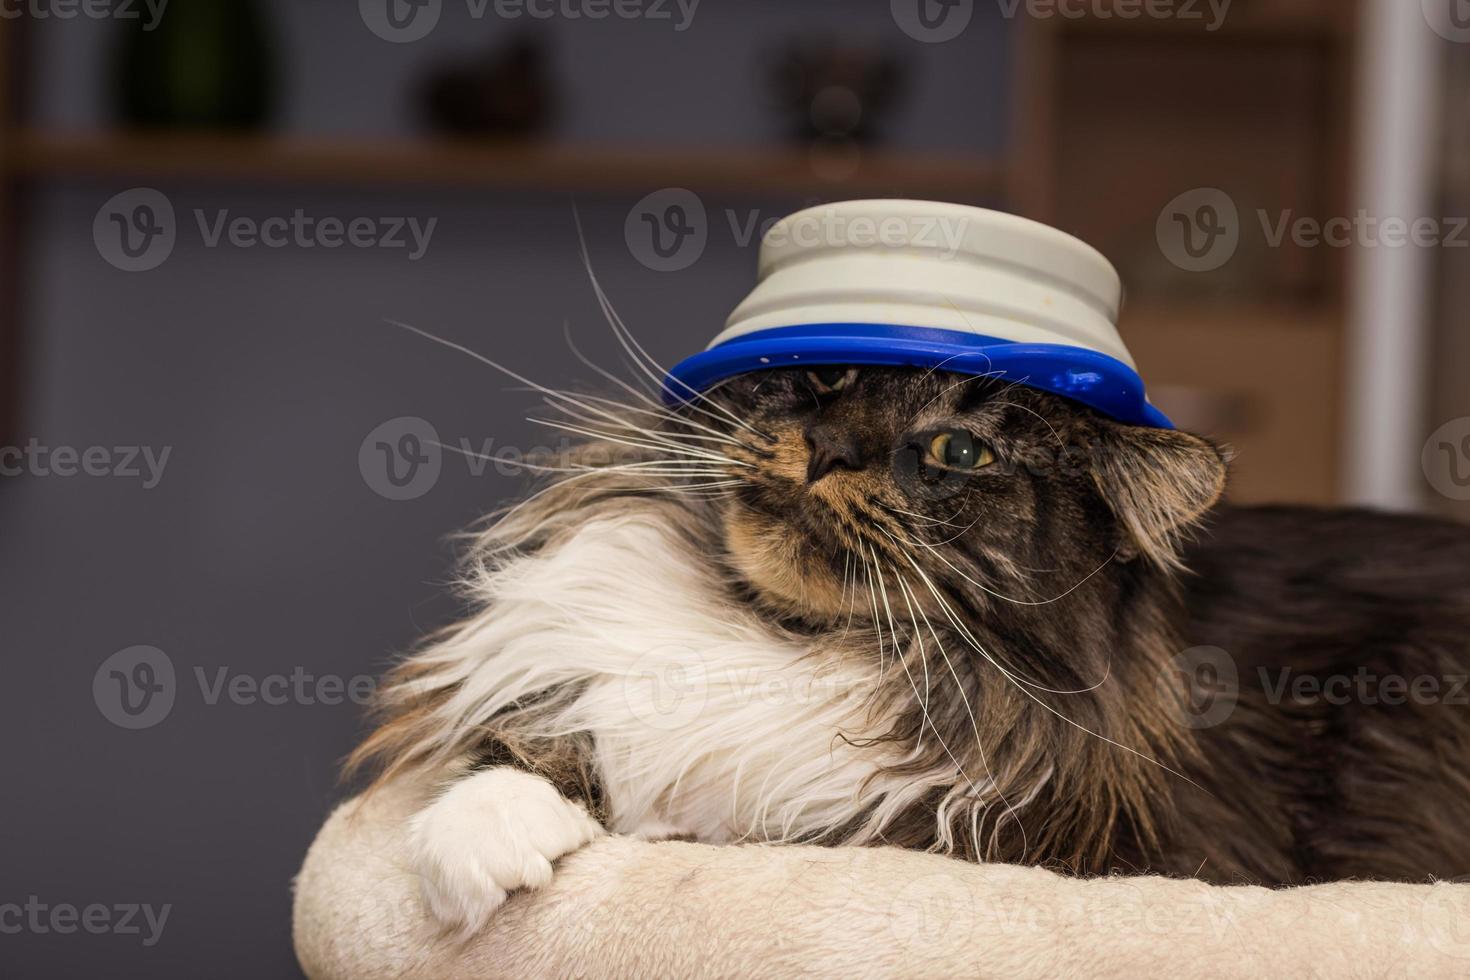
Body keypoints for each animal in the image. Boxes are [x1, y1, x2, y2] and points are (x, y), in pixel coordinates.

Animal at [343, 362, 1470, 934]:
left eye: (958, 450)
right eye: (827, 374)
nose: (830, 447)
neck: (790, 636)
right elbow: (532, 739)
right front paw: (480, 838)